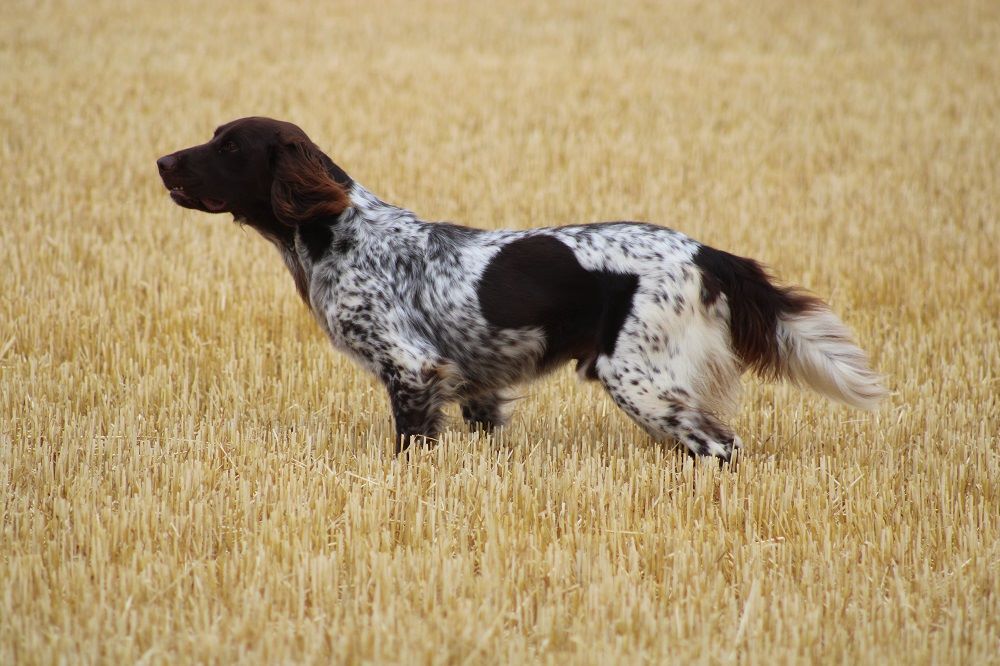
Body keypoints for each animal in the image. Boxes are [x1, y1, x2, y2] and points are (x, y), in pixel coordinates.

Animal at [156, 116, 884, 460]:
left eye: (229, 146)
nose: (161, 161)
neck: (339, 233)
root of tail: (708, 253)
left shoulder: (411, 368)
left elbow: (409, 447)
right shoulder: (477, 387)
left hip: (639, 378)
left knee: (719, 446)